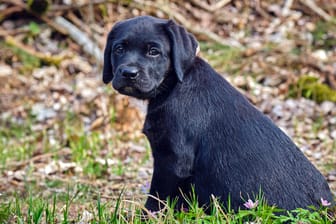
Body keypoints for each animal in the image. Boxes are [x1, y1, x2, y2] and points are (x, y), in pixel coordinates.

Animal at [102, 15, 334, 212]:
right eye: (119, 49)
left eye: (153, 51)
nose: (128, 73)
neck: (174, 85)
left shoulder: (172, 161)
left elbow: (155, 200)